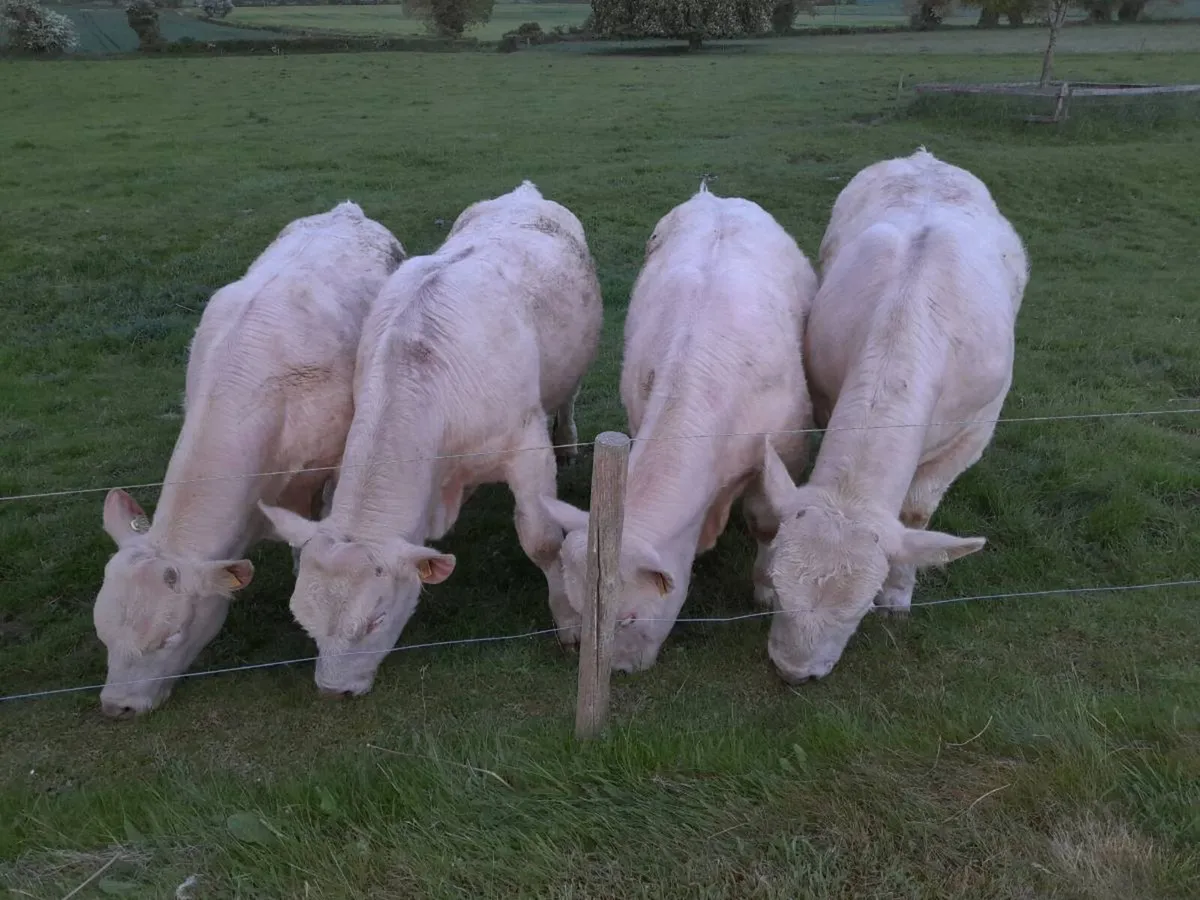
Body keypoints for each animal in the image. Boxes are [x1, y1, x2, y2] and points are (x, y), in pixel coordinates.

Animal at [258, 181, 603, 697]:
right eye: (304, 620)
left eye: (376, 619)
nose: (334, 690)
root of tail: (523, 192)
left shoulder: (526, 446)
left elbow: (542, 541)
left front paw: (570, 625)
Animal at [541, 182, 817, 673]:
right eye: (577, 610)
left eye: (629, 619)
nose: (620, 671)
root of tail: (714, 197)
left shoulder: (788, 451)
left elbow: (767, 521)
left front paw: (766, 588)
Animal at [757, 147, 1030, 684]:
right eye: (776, 588)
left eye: (858, 611)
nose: (793, 671)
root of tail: (925, 156)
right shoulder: (825, 395)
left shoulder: (976, 428)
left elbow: (918, 513)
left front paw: (900, 594)